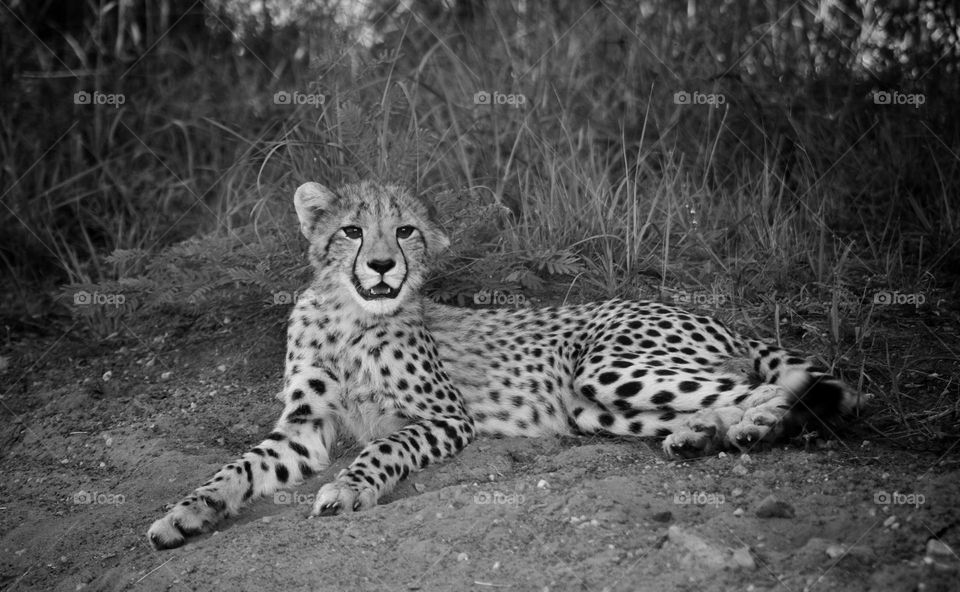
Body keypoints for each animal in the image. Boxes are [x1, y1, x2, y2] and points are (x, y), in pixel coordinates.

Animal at [144, 182, 864, 552]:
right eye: (351, 230)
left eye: (404, 231)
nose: (381, 264)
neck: (350, 315)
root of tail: (705, 313)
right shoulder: (303, 427)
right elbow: (236, 468)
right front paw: (186, 515)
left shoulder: (443, 417)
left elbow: (381, 448)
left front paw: (351, 488)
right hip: (595, 405)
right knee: (725, 397)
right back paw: (703, 436)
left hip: (606, 367)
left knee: (767, 385)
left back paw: (754, 426)